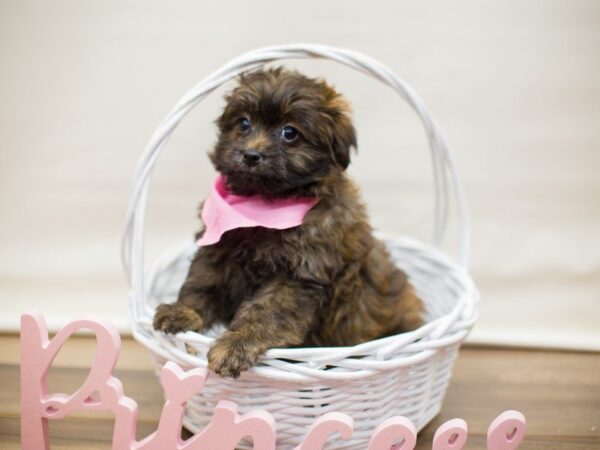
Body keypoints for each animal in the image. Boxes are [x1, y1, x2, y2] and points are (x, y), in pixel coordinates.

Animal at [152, 68, 424, 378]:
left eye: (289, 133)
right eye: (244, 123)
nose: (250, 155)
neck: (265, 204)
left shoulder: (298, 277)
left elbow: (265, 312)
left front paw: (235, 344)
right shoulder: (216, 251)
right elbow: (201, 284)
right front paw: (183, 311)